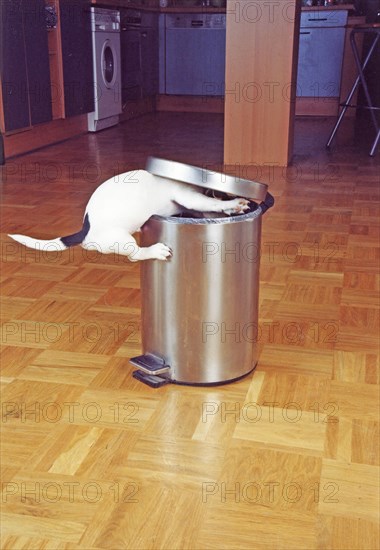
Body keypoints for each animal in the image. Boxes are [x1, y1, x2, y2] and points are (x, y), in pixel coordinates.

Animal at [8, 169, 249, 262]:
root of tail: (85, 232)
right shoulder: (188, 197)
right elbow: (208, 202)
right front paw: (232, 203)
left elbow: (209, 207)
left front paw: (231, 207)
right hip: (122, 240)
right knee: (135, 255)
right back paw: (154, 251)